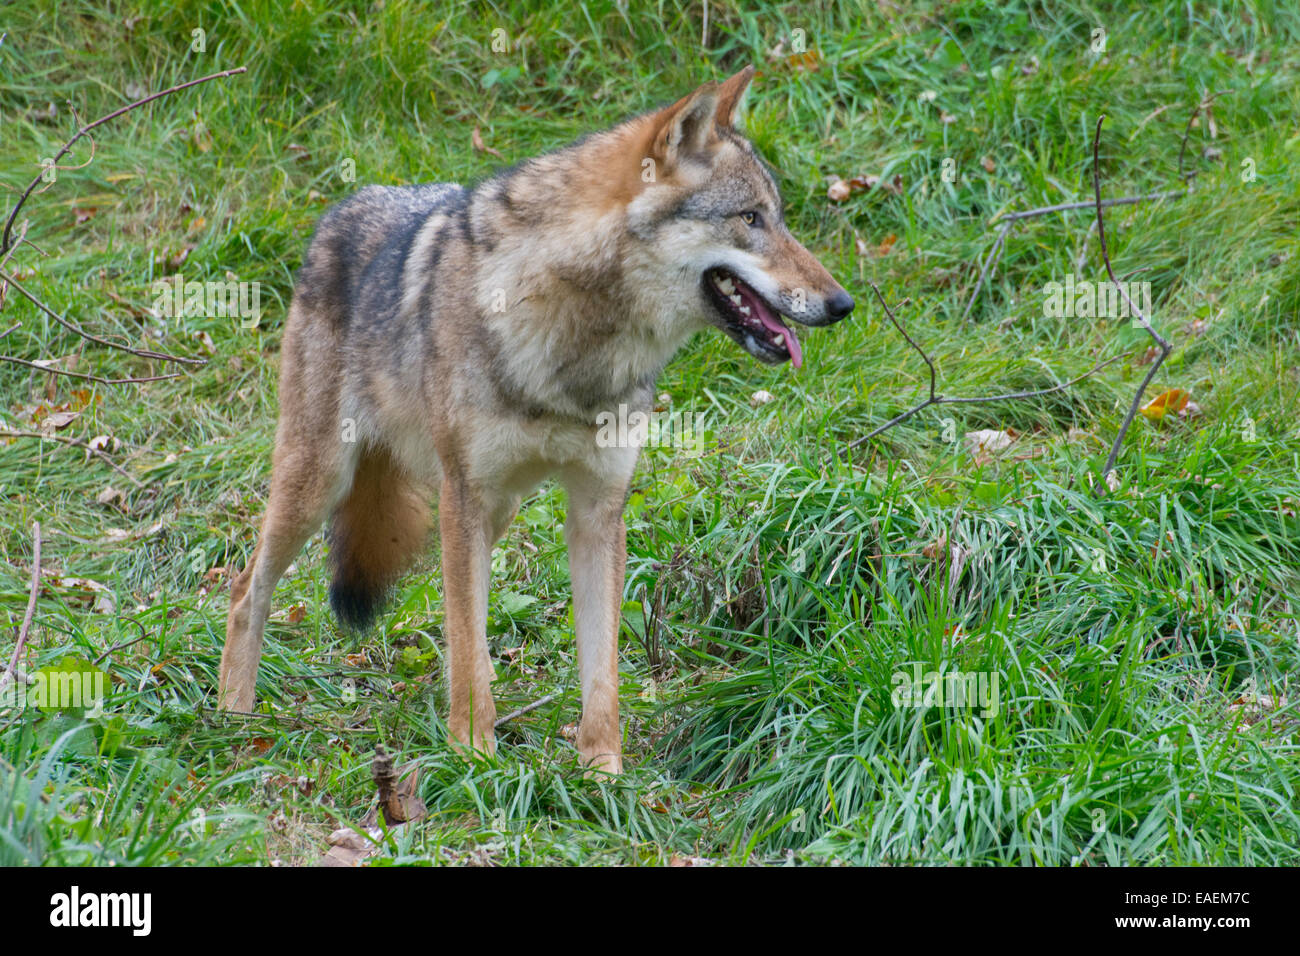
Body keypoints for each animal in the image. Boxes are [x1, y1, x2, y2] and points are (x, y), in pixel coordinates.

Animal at [216, 66, 854, 774]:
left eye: (780, 219)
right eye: (750, 219)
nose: (842, 304)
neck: (577, 342)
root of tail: (339, 209)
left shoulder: (598, 509)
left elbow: (599, 668)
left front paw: (603, 772)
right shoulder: (465, 496)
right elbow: (473, 650)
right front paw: (474, 760)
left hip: (490, 512)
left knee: (456, 623)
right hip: (326, 484)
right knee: (245, 591)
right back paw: (232, 720)